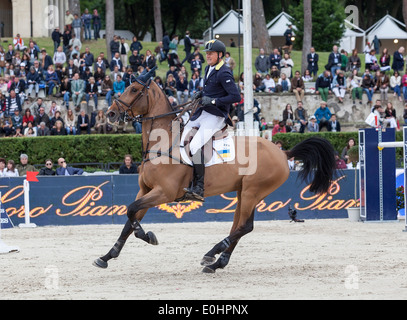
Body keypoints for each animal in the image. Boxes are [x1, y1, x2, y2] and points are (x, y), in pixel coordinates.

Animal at [94, 69, 336, 272]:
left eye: (134, 89)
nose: (111, 114)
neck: (162, 143)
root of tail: (283, 152)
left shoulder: (164, 192)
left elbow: (131, 211)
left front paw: (146, 235)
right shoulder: (145, 190)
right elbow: (129, 218)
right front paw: (107, 256)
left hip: (253, 191)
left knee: (245, 226)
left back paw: (212, 254)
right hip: (244, 192)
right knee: (239, 226)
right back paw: (218, 262)